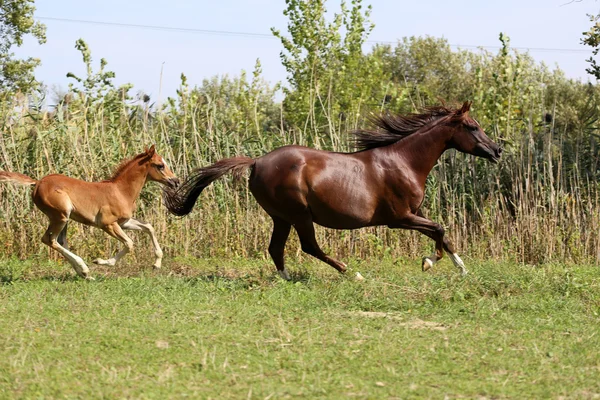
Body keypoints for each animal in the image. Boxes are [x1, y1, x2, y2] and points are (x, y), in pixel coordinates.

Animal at [0, 145, 178, 280]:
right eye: (160, 165)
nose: (175, 181)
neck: (120, 191)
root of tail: (37, 183)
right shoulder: (108, 224)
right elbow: (129, 243)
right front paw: (101, 262)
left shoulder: (124, 222)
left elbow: (149, 227)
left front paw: (156, 264)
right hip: (61, 215)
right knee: (49, 240)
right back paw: (84, 269)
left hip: (63, 218)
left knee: (60, 241)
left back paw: (84, 274)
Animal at [162, 101, 500, 280]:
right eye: (473, 127)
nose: (497, 151)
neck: (403, 161)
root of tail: (256, 161)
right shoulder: (399, 217)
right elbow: (440, 229)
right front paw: (431, 262)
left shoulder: (413, 214)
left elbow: (442, 233)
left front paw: (460, 267)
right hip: (299, 214)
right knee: (309, 247)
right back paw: (351, 272)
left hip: (281, 217)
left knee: (276, 248)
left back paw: (286, 279)